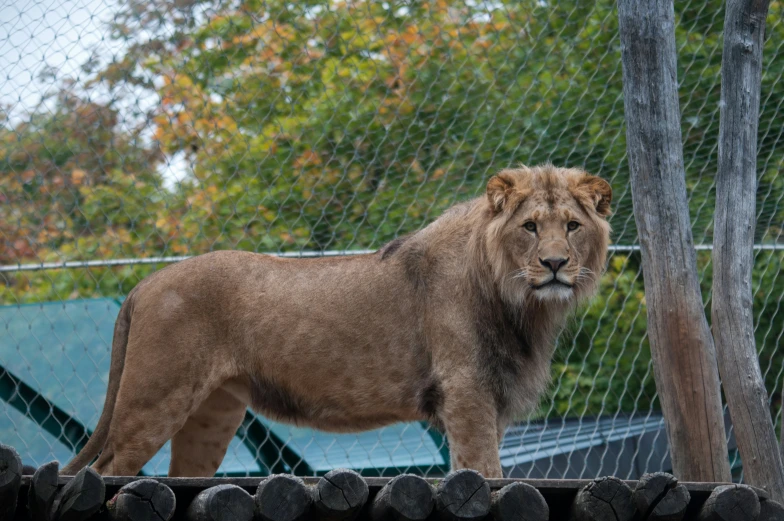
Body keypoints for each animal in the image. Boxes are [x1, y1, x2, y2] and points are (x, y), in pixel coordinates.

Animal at [61, 162, 612, 476]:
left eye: (572, 226)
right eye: (529, 227)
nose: (556, 264)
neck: (521, 304)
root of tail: (145, 283)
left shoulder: (487, 400)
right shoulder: (467, 392)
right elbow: (486, 474)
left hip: (211, 415)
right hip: (154, 400)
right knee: (105, 471)